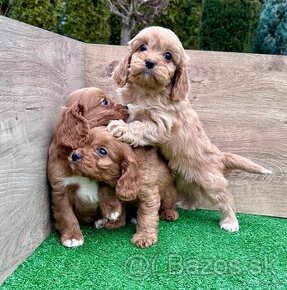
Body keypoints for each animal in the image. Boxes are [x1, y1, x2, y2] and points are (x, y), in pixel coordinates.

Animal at [47, 86, 129, 247]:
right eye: (104, 102)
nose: (127, 106)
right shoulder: (60, 189)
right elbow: (66, 215)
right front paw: (72, 236)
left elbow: (105, 186)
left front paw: (112, 208)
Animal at [107, 26, 272, 232]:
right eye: (142, 47)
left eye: (168, 56)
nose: (150, 62)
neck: (145, 92)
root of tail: (219, 155)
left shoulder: (162, 124)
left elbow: (139, 125)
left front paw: (120, 127)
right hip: (185, 176)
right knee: (193, 191)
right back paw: (186, 205)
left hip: (210, 179)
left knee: (225, 197)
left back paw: (230, 222)